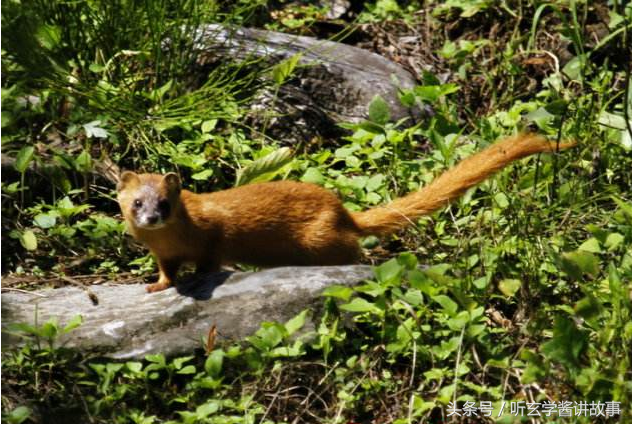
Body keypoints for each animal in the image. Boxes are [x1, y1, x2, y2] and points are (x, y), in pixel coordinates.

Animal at [116, 134, 576, 294]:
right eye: (137, 202)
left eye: (165, 203)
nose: (151, 217)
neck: (170, 238)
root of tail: (344, 213)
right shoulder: (162, 252)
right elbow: (166, 270)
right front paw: (157, 285)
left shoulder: (214, 232)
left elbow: (212, 259)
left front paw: (198, 278)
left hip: (321, 238)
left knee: (354, 252)